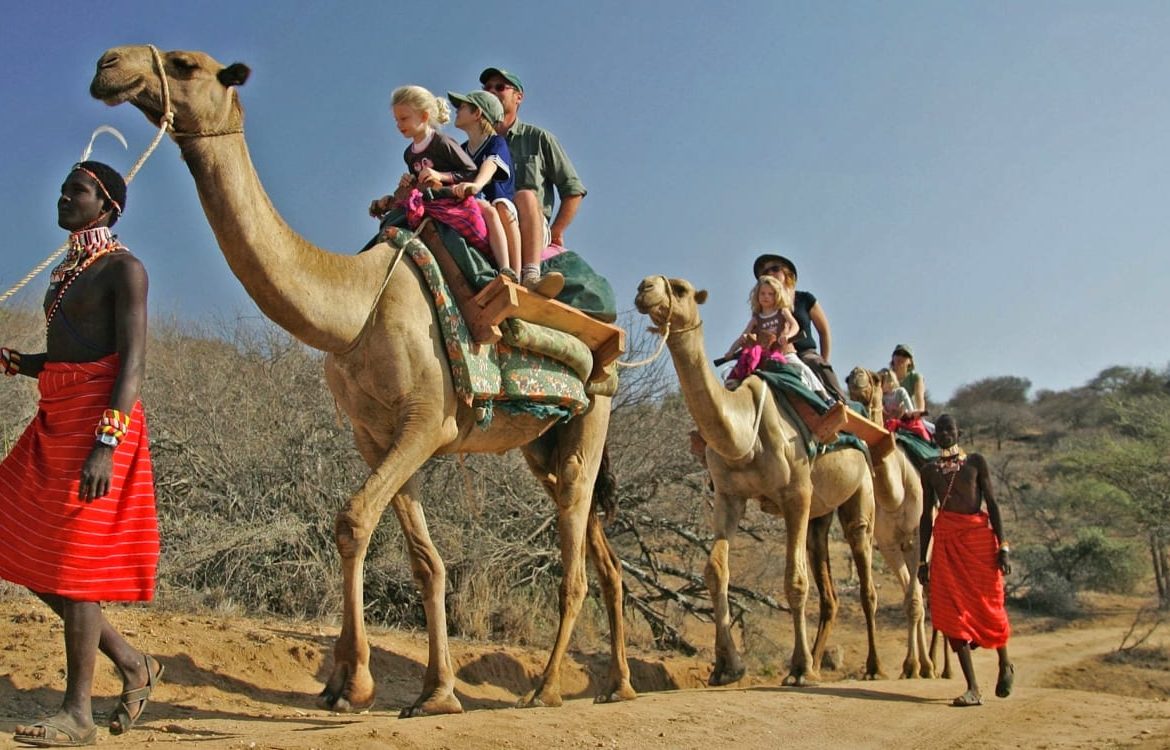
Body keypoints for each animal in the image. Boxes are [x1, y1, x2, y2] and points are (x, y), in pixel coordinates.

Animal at [89, 45, 636, 716]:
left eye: (185, 63)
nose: (110, 64)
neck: (356, 309)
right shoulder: (376, 434)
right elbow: (419, 558)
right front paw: (427, 691)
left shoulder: (428, 421)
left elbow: (352, 519)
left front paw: (358, 685)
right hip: (544, 442)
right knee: (599, 551)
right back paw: (618, 684)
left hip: (593, 412)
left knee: (575, 561)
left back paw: (547, 688)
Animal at [633, 276, 882, 685]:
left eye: (681, 288)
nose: (645, 287)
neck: (743, 427)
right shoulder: (728, 496)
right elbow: (715, 571)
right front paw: (727, 667)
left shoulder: (796, 493)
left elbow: (795, 581)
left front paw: (799, 670)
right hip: (821, 514)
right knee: (828, 587)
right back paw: (820, 660)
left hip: (860, 492)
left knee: (865, 574)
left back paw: (874, 667)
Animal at [845, 366, 934, 678]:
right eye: (850, 378)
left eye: (874, 378)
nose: (855, 375)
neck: (896, 492)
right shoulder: (888, 543)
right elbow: (910, 601)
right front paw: (911, 666)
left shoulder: (918, 537)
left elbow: (914, 602)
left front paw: (917, 666)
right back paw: (924, 664)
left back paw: (936, 666)